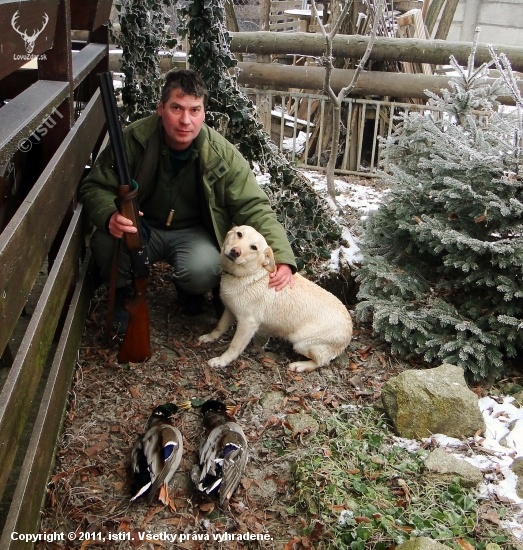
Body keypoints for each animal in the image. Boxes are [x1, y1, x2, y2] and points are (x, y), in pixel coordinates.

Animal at [198, 226, 352, 372]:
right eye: (239, 234)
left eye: (254, 247)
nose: (235, 251)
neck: (249, 275)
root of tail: (349, 330)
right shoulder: (229, 310)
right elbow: (220, 326)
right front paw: (209, 337)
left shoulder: (247, 323)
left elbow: (234, 347)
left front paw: (221, 361)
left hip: (301, 342)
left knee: (322, 362)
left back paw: (300, 365)